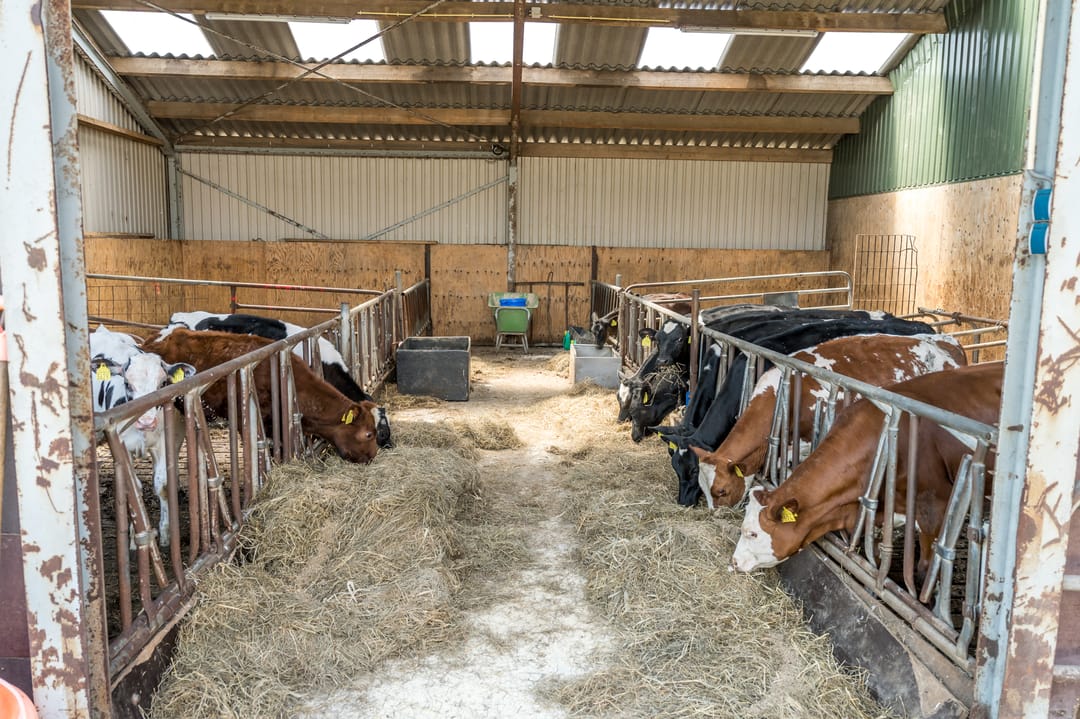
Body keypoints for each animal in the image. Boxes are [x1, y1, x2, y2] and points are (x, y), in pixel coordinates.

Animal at [90, 326, 196, 547]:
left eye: (163, 383)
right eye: (127, 383)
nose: (146, 421)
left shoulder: (163, 444)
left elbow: (162, 484)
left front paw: (165, 532)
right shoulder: (122, 447)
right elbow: (134, 489)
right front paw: (134, 537)